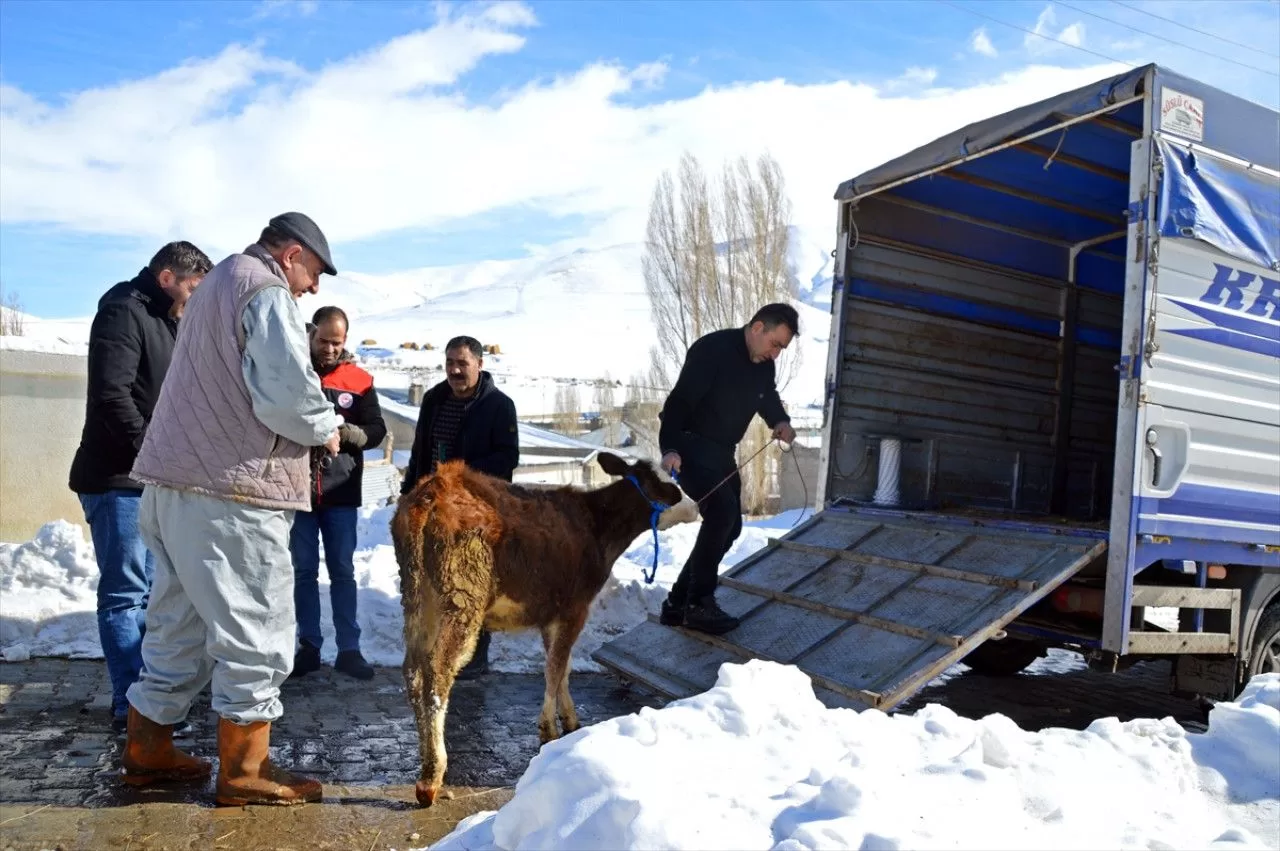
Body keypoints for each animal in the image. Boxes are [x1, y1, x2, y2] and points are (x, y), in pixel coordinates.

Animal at [389, 447, 701, 808]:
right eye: (664, 485)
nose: (695, 505)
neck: (596, 527)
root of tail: (434, 489)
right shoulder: (575, 608)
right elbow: (554, 668)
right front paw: (548, 730)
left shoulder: (551, 614)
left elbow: (562, 666)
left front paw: (569, 719)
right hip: (461, 597)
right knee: (438, 671)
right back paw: (432, 777)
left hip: (417, 597)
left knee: (413, 671)